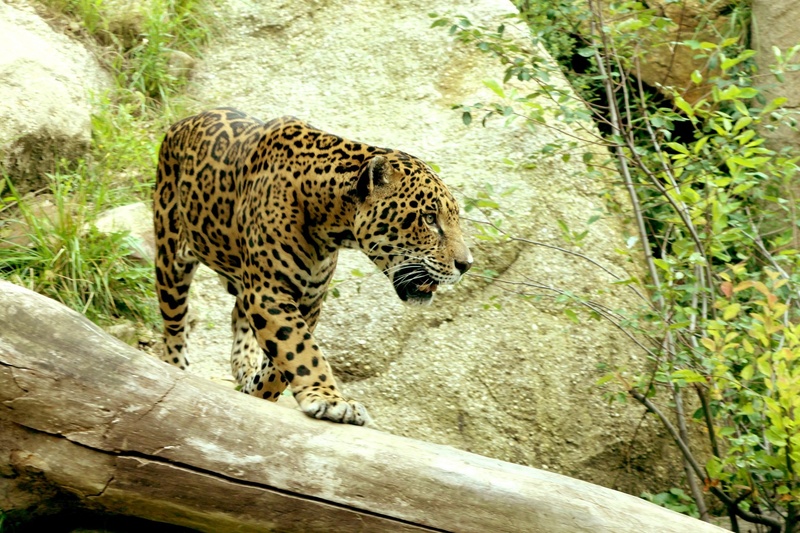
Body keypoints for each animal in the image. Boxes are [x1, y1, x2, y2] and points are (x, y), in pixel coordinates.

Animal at [154, 107, 472, 426]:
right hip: (170, 258)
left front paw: (259, 393)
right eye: (429, 219)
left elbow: (280, 365)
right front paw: (330, 400)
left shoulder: (308, 300)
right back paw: (175, 367)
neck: (331, 221)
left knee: (237, 313)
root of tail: (182, 121)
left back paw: (244, 365)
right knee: (175, 322)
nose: (466, 264)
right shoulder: (270, 292)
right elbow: (300, 349)